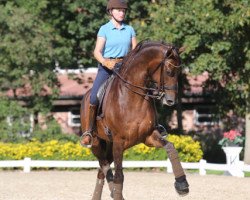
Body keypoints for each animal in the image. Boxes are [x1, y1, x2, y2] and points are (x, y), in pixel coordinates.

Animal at [81, 40, 188, 200]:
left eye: (179, 72)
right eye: (169, 71)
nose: (170, 100)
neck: (133, 98)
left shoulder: (149, 136)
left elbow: (171, 147)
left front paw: (182, 185)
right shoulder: (119, 142)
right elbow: (119, 176)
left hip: (109, 145)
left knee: (102, 169)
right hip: (96, 142)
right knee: (104, 165)